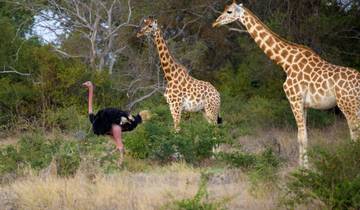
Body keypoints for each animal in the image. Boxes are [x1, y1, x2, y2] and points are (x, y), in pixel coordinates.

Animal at [212, 0, 360, 167]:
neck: (285, 62)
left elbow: (302, 137)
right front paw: (301, 166)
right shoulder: (304, 104)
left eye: (229, 11)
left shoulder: (294, 100)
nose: (215, 22)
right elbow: (301, 135)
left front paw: (305, 169)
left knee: (355, 133)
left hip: (348, 105)